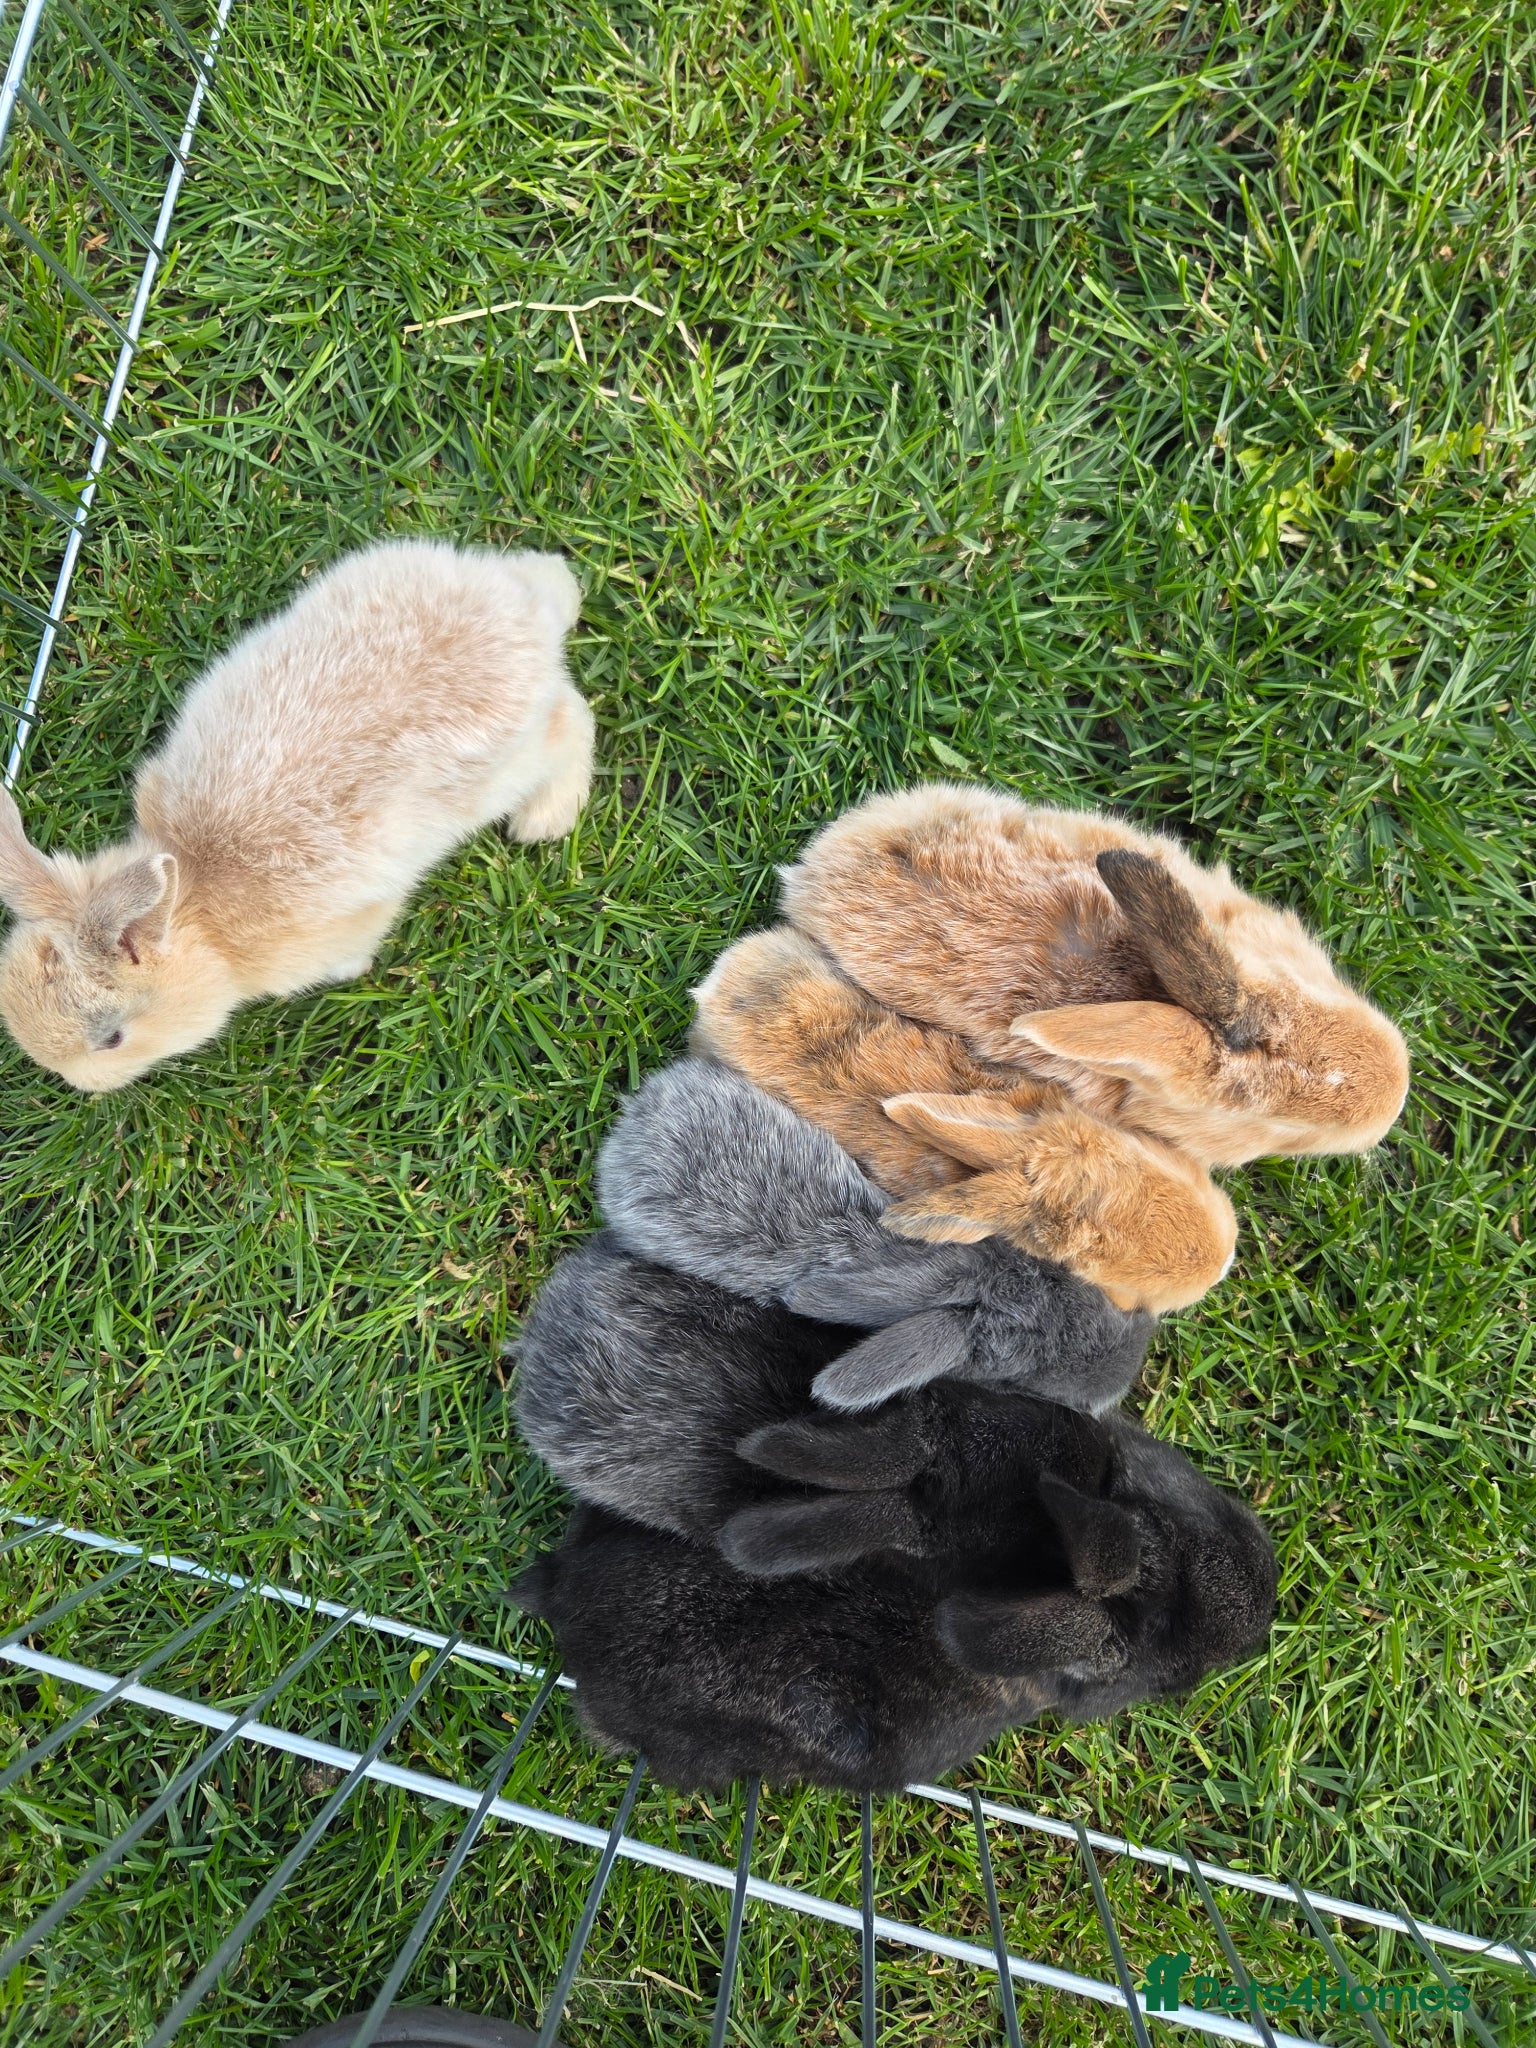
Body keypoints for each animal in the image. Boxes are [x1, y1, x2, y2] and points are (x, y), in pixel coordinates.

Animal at [0, 538, 595, 1090]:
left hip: (519, 758)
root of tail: (528, 608)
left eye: (113, 1038)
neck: (200, 909)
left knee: (575, 719)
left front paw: (354, 970)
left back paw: (543, 821)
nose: (79, 1086)